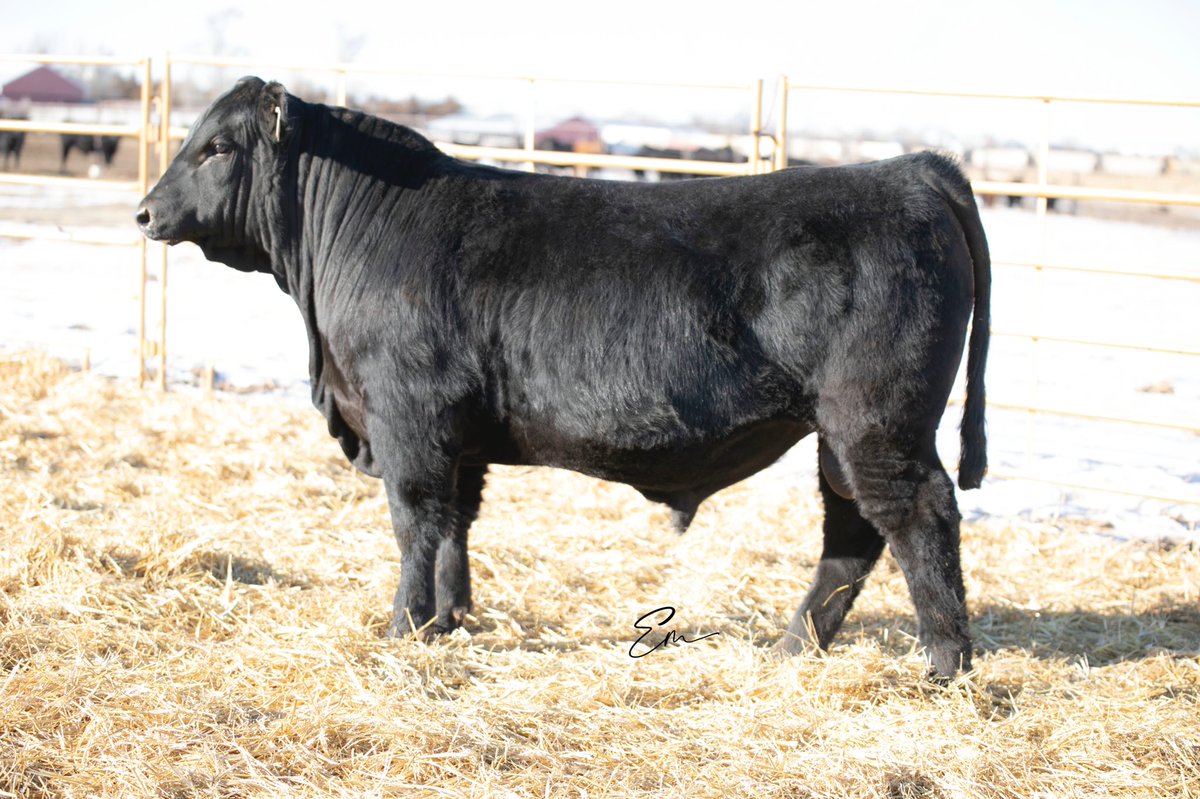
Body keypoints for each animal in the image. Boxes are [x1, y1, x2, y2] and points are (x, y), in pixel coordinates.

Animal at [137, 78, 990, 680]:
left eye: (218, 146)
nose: (144, 211)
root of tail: (913, 171)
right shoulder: (459, 435)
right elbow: (456, 524)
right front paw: (450, 619)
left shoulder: (407, 417)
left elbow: (415, 522)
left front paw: (403, 626)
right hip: (841, 434)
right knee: (852, 531)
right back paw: (794, 647)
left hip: (875, 421)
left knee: (919, 516)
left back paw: (947, 663)